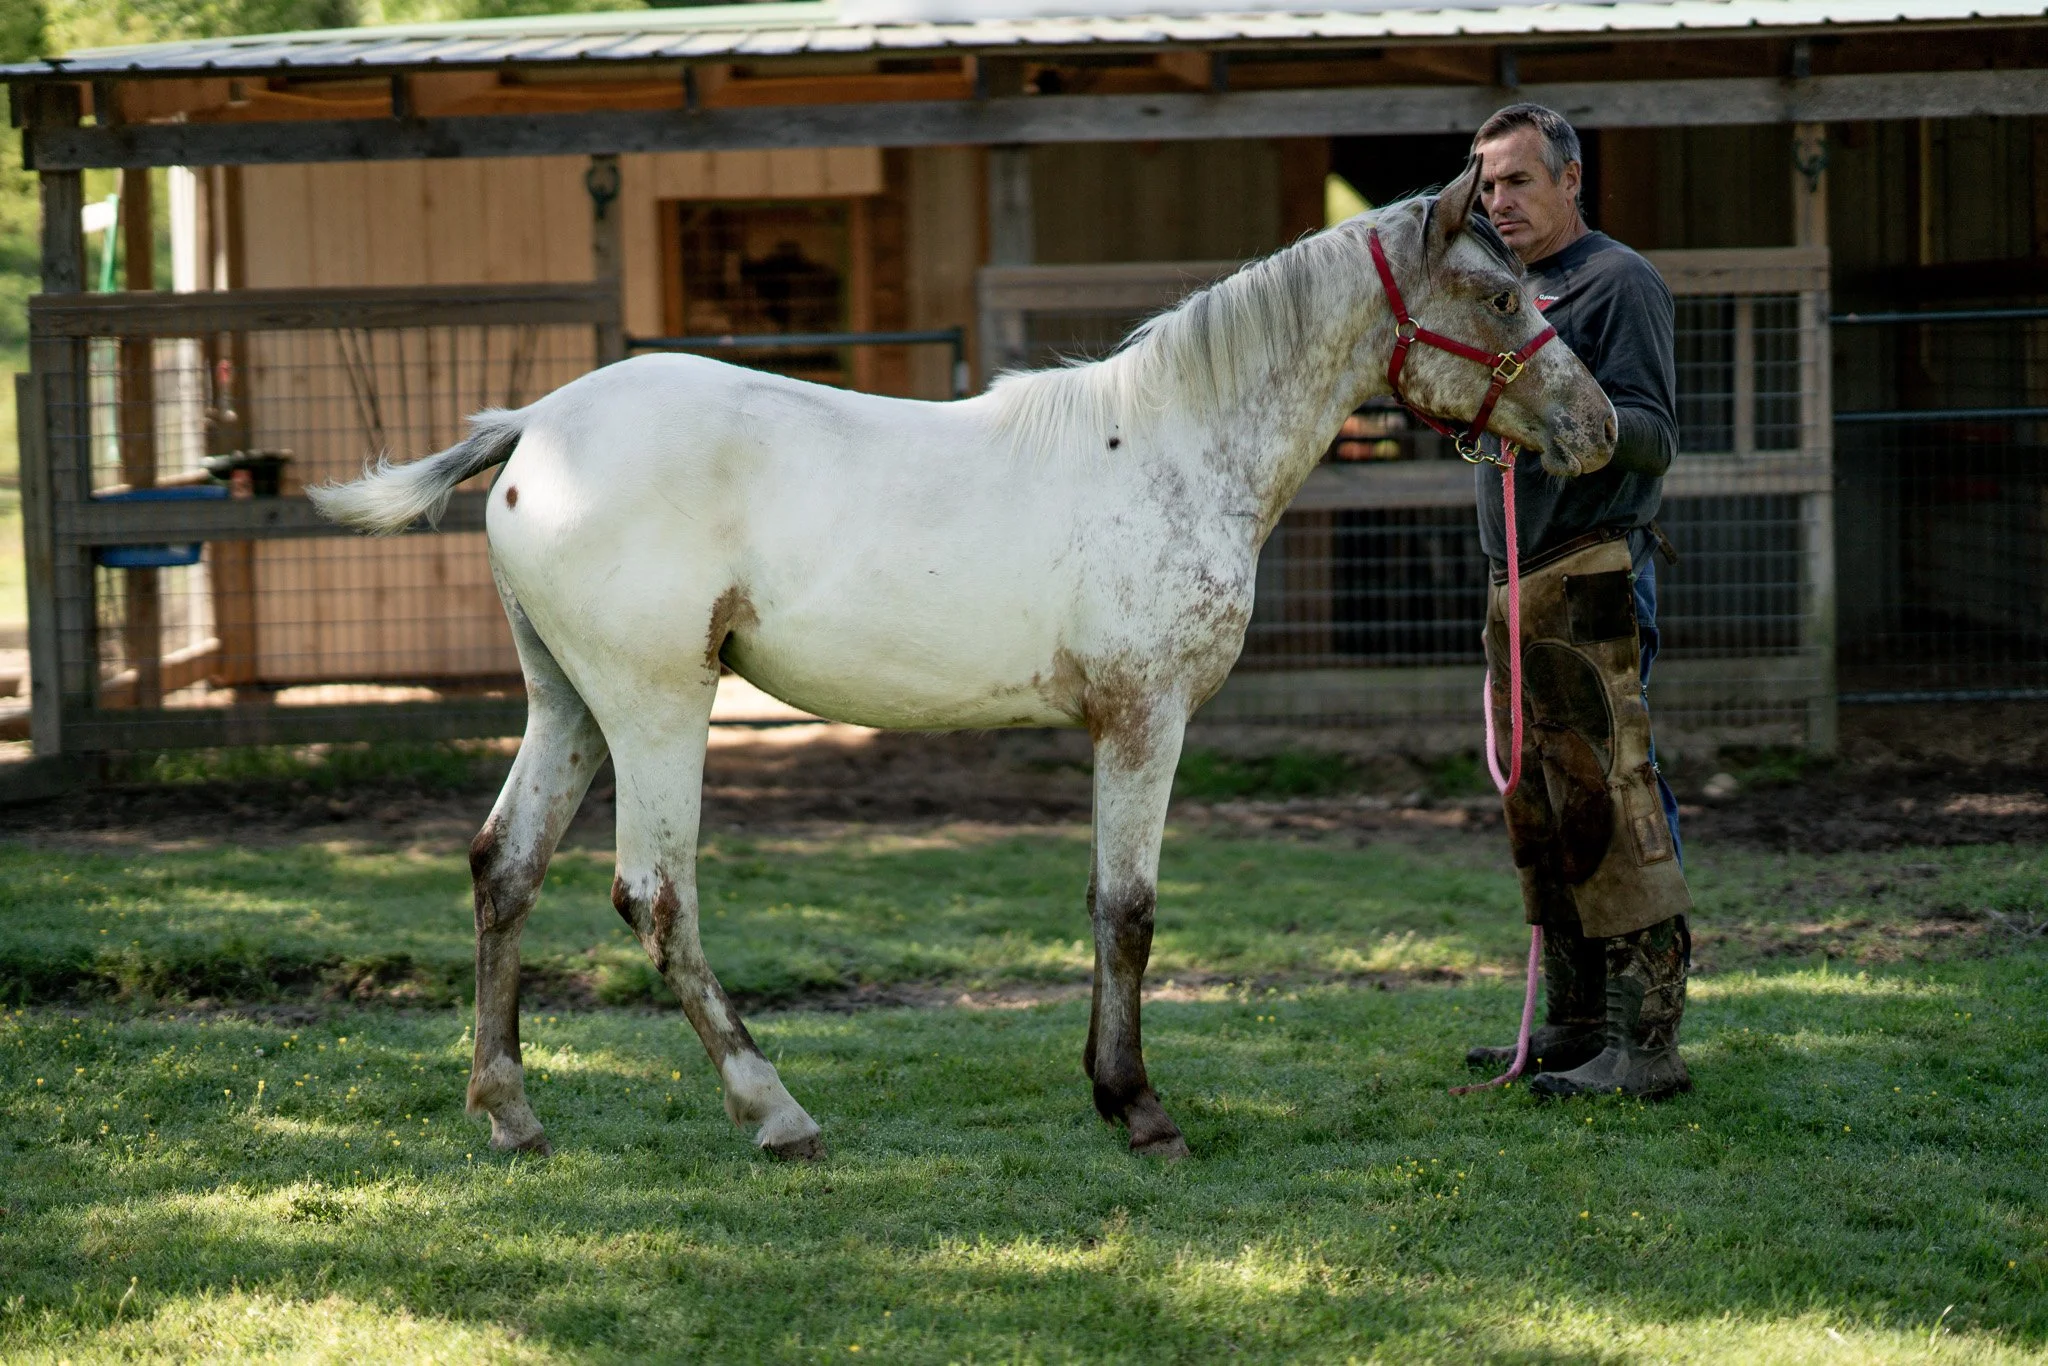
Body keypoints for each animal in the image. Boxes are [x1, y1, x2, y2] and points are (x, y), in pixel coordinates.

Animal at [311, 158, 1615, 1162]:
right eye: (1498, 295)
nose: (1597, 427)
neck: (1174, 450)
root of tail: (535, 424)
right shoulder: (1145, 719)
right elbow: (1128, 909)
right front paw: (1140, 1109)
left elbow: (1099, 904)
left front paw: (1105, 1090)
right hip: (655, 706)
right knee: (655, 895)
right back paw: (775, 1113)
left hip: (567, 706)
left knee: (505, 869)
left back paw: (512, 1114)